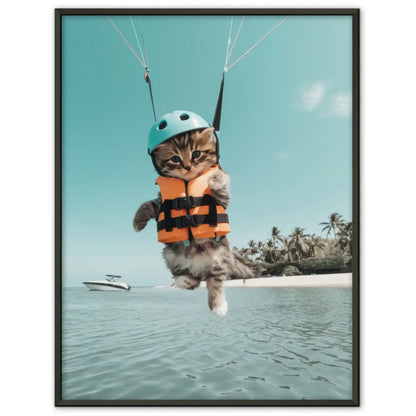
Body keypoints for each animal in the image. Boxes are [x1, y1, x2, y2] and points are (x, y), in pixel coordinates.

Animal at [133, 128, 258, 316]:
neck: (187, 182)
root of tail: (200, 266)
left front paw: (215, 178)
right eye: (175, 159)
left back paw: (218, 306)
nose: (188, 167)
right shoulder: (161, 203)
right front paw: (138, 221)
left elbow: (220, 183)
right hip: (170, 256)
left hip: (218, 257)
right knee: (192, 278)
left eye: (196, 154)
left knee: (214, 282)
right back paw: (185, 281)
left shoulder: (222, 200)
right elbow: (149, 205)